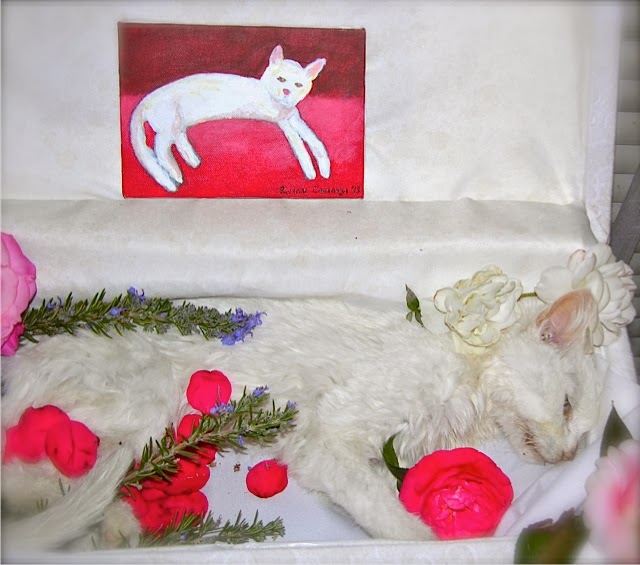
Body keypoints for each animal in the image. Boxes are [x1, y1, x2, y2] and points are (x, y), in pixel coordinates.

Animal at [0, 289, 603, 551]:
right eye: (567, 405)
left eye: (580, 428)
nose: (572, 454)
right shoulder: (328, 438)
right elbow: (397, 523)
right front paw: (426, 541)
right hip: (147, 401)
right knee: (30, 464)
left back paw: (116, 526)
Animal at [129, 45, 330, 192]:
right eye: (280, 79)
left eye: (298, 85)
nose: (287, 91)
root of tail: (146, 100)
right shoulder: (282, 121)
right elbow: (299, 144)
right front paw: (310, 170)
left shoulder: (294, 117)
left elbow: (315, 141)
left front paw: (325, 168)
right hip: (168, 127)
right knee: (159, 149)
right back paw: (174, 173)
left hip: (177, 125)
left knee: (176, 142)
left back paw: (191, 161)